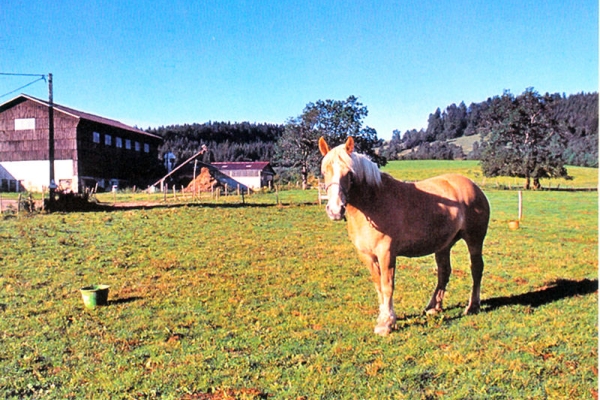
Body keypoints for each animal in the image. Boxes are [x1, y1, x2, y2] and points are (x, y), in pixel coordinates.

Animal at [316, 136, 490, 336]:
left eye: (349, 173)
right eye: (324, 172)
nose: (335, 210)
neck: (373, 203)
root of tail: (474, 187)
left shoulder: (386, 253)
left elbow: (387, 285)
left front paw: (386, 323)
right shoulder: (367, 255)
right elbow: (378, 285)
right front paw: (383, 317)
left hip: (474, 239)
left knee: (476, 268)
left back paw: (473, 306)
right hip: (443, 245)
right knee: (444, 272)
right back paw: (433, 307)